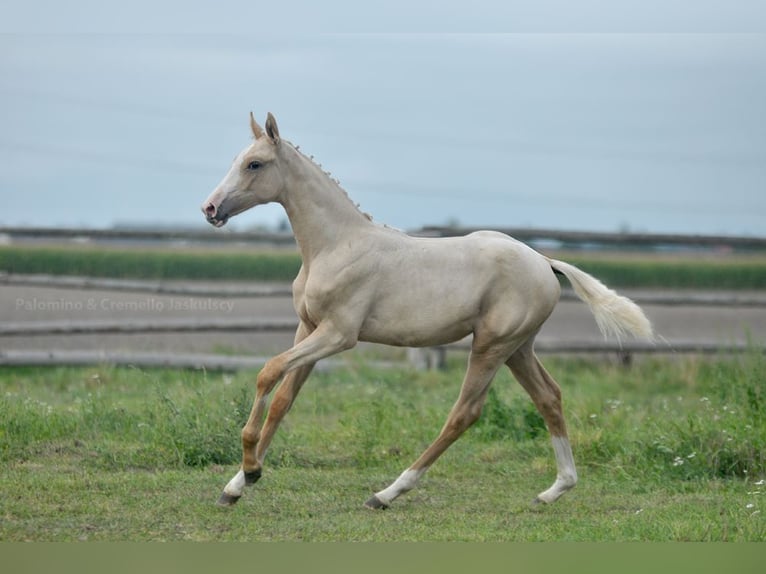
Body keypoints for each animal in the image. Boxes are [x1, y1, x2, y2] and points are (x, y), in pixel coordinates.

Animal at [201, 112, 654, 509]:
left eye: (254, 163)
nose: (210, 209)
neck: (335, 245)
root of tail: (545, 261)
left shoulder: (338, 335)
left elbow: (268, 372)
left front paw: (250, 469)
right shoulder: (308, 329)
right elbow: (283, 401)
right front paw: (238, 485)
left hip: (491, 345)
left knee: (464, 413)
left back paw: (386, 494)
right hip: (518, 348)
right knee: (549, 397)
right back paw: (555, 490)